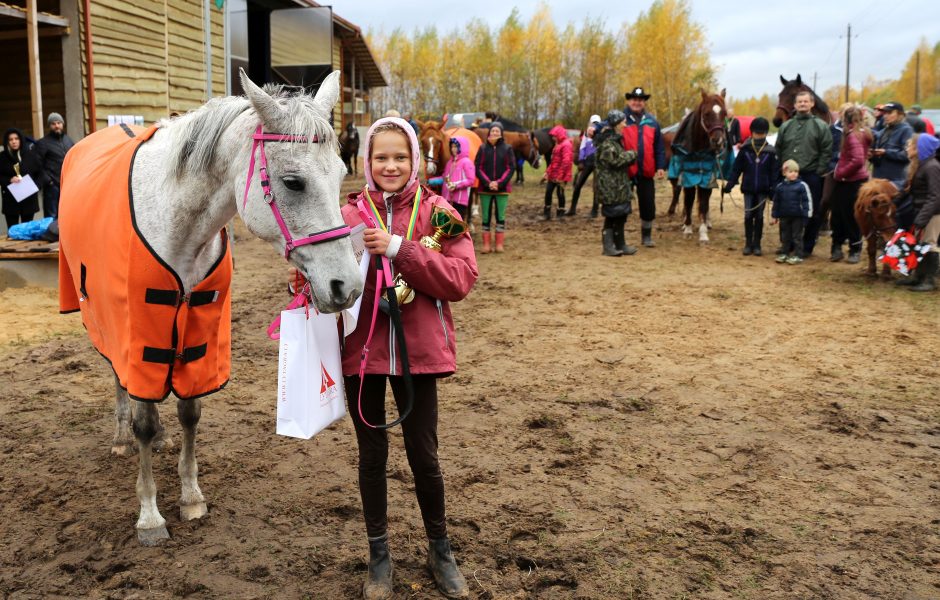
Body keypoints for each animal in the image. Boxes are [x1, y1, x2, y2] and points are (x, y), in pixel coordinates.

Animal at [668, 88, 736, 241]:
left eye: (724, 113)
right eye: (706, 114)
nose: (718, 141)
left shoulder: (707, 176)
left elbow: (704, 202)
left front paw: (703, 231)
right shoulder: (688, 175)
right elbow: (689, 199)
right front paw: (687, 228)